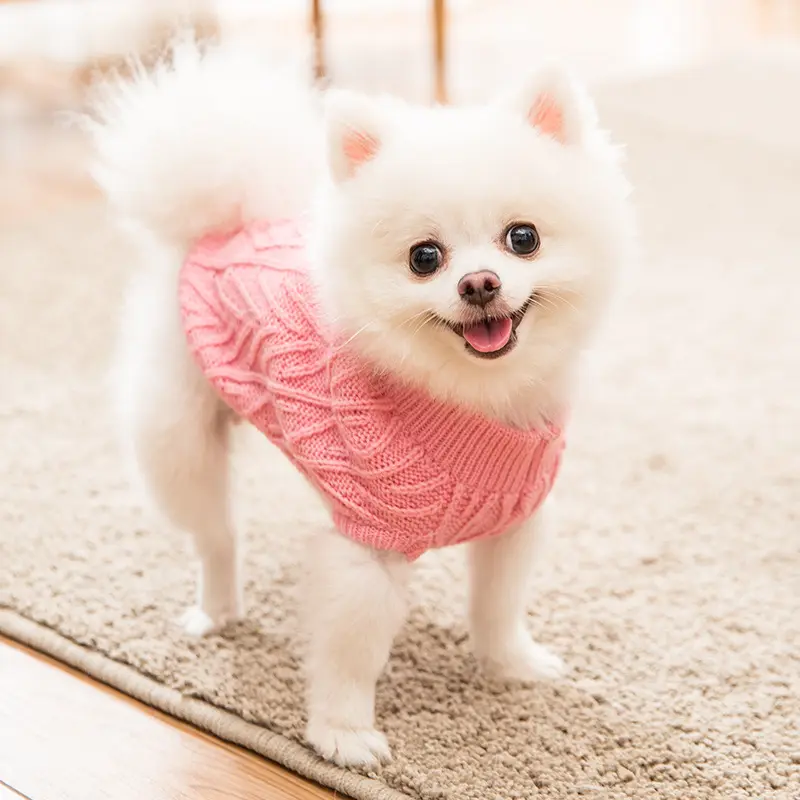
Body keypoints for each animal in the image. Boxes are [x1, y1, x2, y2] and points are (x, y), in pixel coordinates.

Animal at [90, 39, 636, 768]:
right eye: (424, 257)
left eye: (523, 238)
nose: (480, 282)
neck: (470, 400)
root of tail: (225, 225)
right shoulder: (366, 550)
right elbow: (351, 654)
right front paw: (342, 733)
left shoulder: (514, 523)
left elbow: (497, 604)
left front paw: (509, 664)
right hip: (177, 437)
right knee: (214, 533)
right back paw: (218, 607)